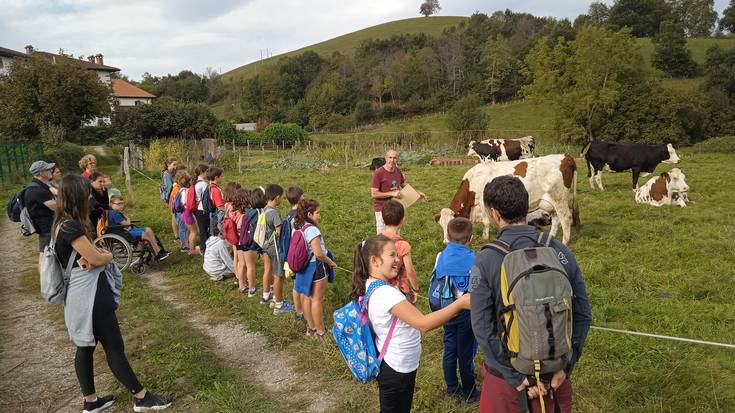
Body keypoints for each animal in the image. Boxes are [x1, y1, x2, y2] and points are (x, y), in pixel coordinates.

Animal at [432, 154, 580, 245]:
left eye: (451, 225)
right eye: (442, 226)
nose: (446, 242)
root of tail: (566, 157)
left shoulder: (484, 204)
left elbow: (486, 222)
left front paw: (485, 237)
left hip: (559, 198)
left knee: (566, 218)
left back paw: (565, 242)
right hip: (550, 203)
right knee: (556, 220)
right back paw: (551, 238)